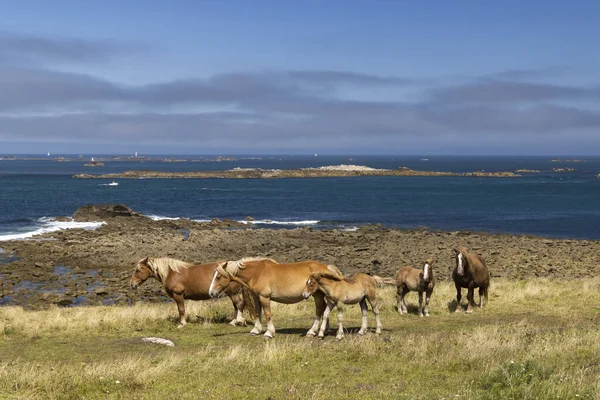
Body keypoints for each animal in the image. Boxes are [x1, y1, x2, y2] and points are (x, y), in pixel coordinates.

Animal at [210, 258, 342, 340]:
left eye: (218, 276)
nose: (211, 293)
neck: (257, 272)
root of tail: (327, 267)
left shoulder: (265, 297)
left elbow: (267, 314)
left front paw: (269, 333)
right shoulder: (256, 297)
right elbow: (258, 312)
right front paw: (256, 330)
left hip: (317, 295)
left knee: (319, 310)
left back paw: (312, 331)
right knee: (324, 308)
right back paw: (324, 330)